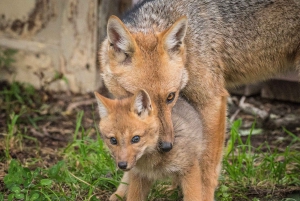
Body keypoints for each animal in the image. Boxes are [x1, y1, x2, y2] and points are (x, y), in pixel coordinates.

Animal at [99, 0, 300, 199]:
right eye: (141, 99)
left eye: (170, 97)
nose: (166, 146)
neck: (189, 45)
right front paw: (121, 193)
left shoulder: (211, 102)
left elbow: (206, 169)